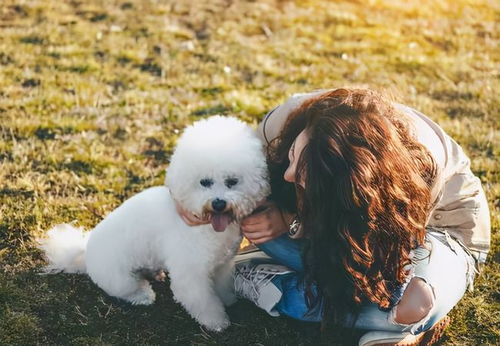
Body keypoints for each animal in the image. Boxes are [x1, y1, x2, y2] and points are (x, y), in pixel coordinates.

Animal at [38, 115, 270, 330]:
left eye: (232, 181)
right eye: (204, 182)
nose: (219, 203)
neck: (206, 225)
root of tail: (84, 251)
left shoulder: (222, 264)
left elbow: (222, 286)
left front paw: (228, 300)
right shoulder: (190, 274)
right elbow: (203, 302)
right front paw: (217, 322)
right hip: (119, 278)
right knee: (127, 289)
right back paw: (143, 295)